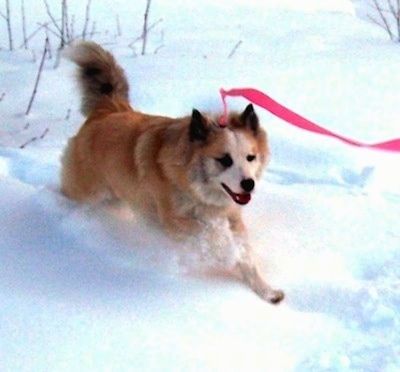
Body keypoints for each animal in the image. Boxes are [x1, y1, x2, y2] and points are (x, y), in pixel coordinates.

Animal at [61, 40, 284, 304]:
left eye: (251, 157)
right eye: (224, 160)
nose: (249, 184)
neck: (193, 185)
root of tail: (107, 111)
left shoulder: (231, 217)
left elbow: (246, 256)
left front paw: (266, 290)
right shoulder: (175, 221)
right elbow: (210, 237)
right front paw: (227, 253)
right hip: (88, 190)